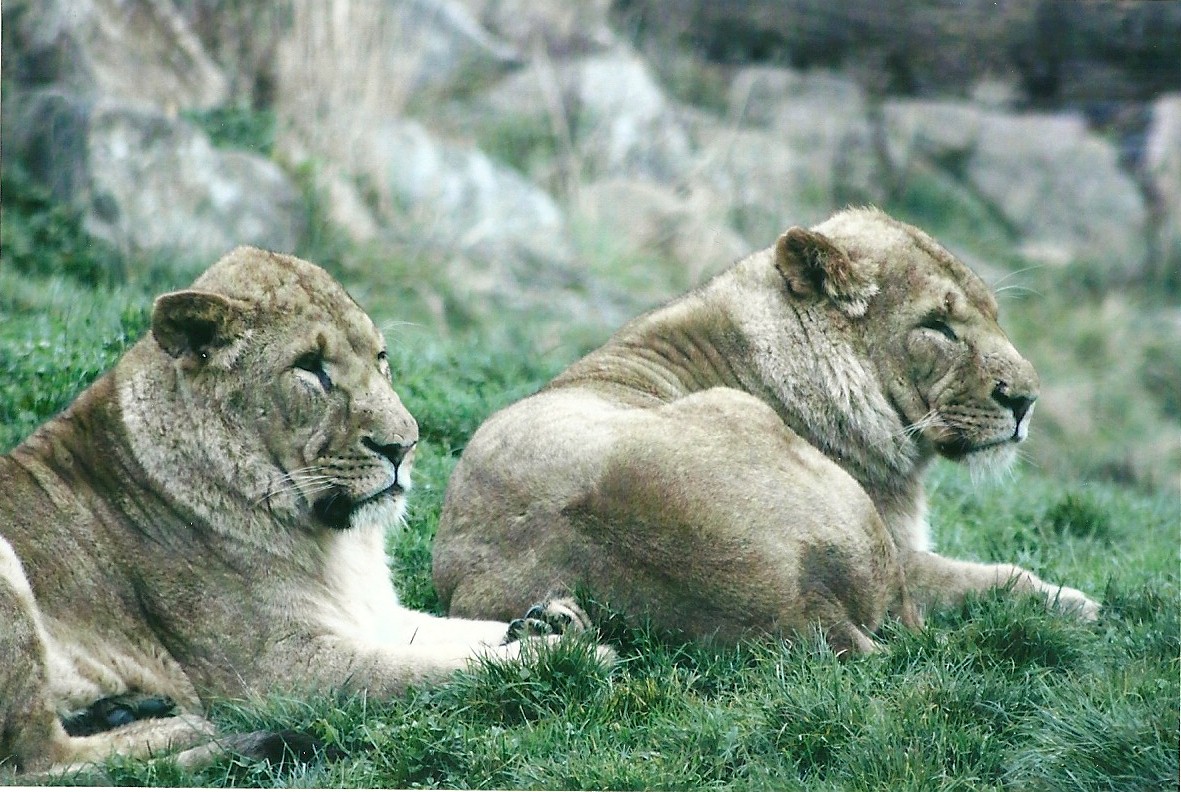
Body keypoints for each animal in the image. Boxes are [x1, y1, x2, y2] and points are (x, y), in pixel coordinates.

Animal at [0, 247, 605, 778]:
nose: (404, 445)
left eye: (380, 359)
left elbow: (456, 633)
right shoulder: (279, 671)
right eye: (311, 368)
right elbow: (420, 671)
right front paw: (561, 655)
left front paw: (552, 622)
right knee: (43, 760)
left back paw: (127, 710)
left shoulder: (370, 614)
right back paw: (186, 728)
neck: (336, 541)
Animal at [433, 207, 1100, 654]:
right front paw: (1077, 604)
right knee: (910, 627)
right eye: (937, 325)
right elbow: (993, 576)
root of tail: (801, 604)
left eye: (993, 315)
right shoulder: (904, 549)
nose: (1027, 400)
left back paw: (551, 624)